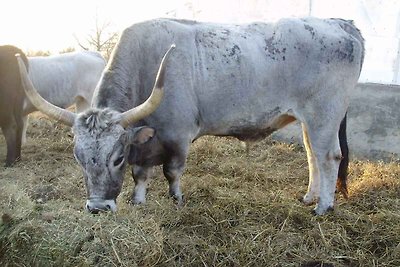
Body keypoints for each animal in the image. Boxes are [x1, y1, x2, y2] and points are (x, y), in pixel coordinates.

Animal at [18, 17, 362, 216]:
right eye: (77, 157)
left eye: (117, 158)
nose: (98, 207)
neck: (147, 64)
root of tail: (341, 23)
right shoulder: (146, 143)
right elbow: (141, 174)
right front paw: (138, 201)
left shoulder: (178, 136)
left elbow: (172, 172)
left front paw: (177, 200)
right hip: (309, 120)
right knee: (312, 155)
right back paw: (309, 197)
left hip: (324, 115)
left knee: (328, 157)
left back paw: (323, 207)